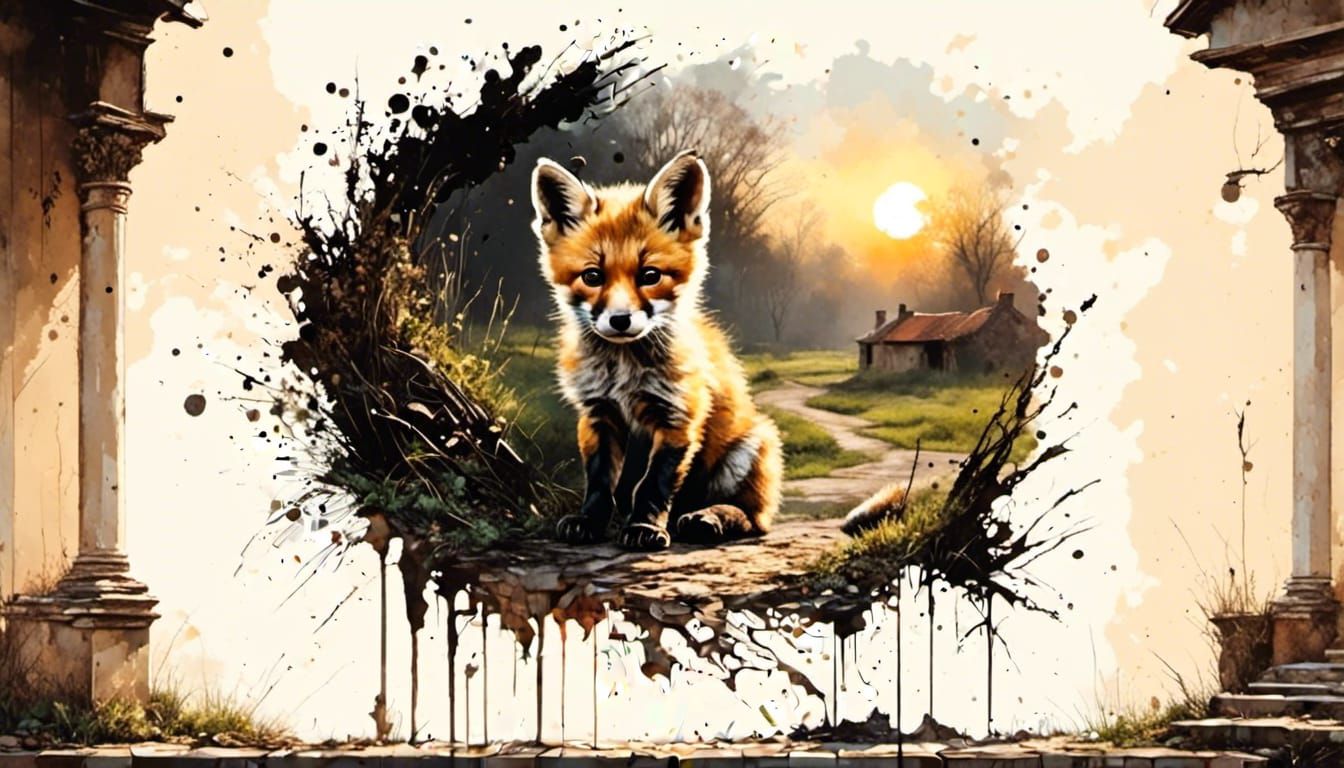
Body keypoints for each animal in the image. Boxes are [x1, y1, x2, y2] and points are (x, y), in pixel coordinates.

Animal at [530, 149, 783, 551]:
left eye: (650, 276)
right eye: (592, 276)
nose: (620, 320)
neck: (624, 373)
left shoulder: (677, 417)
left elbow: (652, 485)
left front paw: (644, 527)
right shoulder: (598, 415)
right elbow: (600, 483)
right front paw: (591, 521)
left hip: (749, 450)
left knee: (752, 519)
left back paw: (706, 518)